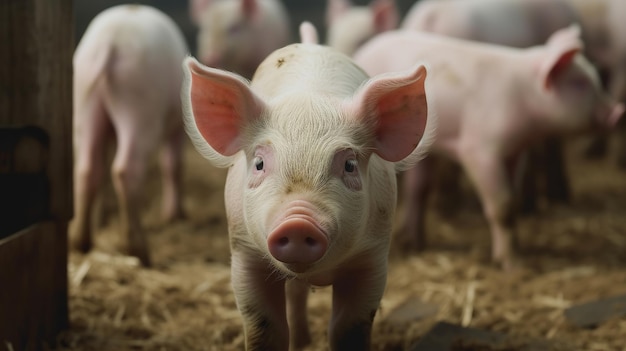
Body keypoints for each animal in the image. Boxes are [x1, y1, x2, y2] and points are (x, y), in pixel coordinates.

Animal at [71, 4, 188, 266]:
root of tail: (111, 42)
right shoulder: (178, 127)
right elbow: (172, 165)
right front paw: (174, 216)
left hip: (84, 101)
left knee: (87, 168)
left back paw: (80, 243)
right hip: (140, 105)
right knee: (126, 169)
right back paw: (139, 252)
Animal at [182, 22, 434, 351]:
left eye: (349, 165)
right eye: (259, 164)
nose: (298, 222)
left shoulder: (373, 259)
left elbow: (348, 328)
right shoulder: (244, 253)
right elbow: (264, 328)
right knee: (296, 294)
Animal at [354, 26, 620, 270]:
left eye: (595, 78)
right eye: (579, 83)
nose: (618, 111)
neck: (524, 99)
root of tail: (365, 49)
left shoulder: (514, 152)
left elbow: (513, 200)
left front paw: (517, 252)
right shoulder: (479, 149)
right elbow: (501, 204)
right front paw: (513, 266)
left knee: (419, 190)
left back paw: (416, 244)